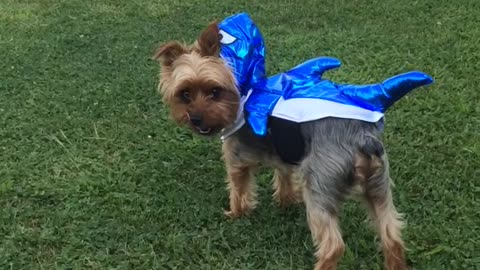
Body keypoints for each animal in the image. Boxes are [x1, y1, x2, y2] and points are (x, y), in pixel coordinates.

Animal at [154, 21, 408, 270]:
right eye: (185, 94)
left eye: (215, 92)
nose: (195, 119)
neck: (244, 91)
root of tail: (362, 138)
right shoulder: (283, 158)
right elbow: (284, 178)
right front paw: (285, 201)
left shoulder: (236, 159)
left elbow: (238, 189)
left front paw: (235, 213)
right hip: (378, 185)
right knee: (392, 236)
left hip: (320, 184)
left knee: (333, 246)